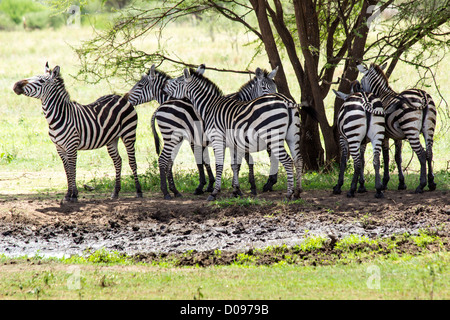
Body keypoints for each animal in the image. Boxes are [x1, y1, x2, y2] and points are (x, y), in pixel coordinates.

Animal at [12, 62, 142, 202]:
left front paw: (74, 195)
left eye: (41, 81)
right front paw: (68, 195)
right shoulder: (59, 148)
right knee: (118, 161)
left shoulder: (71, 146)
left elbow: (72, 168)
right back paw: (115, 192)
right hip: (112, 139)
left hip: (129, 134)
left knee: (132, 161)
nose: (15, 85)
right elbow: (67, 170)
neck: (58, 117)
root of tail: (121, 97)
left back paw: (138, 191)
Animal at [126, 63, 280, 199]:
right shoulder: (198, 139)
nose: (126, 98)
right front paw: (212, 186)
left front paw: (212, 186)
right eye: (265, 87)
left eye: (139, 85)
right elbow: (205, 161)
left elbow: (211, 161)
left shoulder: (198, 140)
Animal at [163, 69, 314, 201]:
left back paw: (288, 195)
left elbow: (221, 165)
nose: (164, 86)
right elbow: (235, 165)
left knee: (288, 161)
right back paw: (297, 193)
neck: (210, 106)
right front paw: (236, 190)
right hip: (292, 137)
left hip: (274, 137)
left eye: (177, 81)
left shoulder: (218, 139)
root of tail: (286, 102)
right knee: (298, 160)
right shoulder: (234, 143)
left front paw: (215, 193)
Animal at [356, 62, 438, 192]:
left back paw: (421, 185)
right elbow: (397, 158)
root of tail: (422, 94)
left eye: (361, 80)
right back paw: (431, 183)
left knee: (421, 154)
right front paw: (401, 183)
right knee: (429, 153)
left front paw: (384, 182)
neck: (382, 94)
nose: (359, 91)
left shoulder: (384, 135)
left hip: (411, 130)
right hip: (429, 129)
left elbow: (386, 157)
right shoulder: (397, 136)